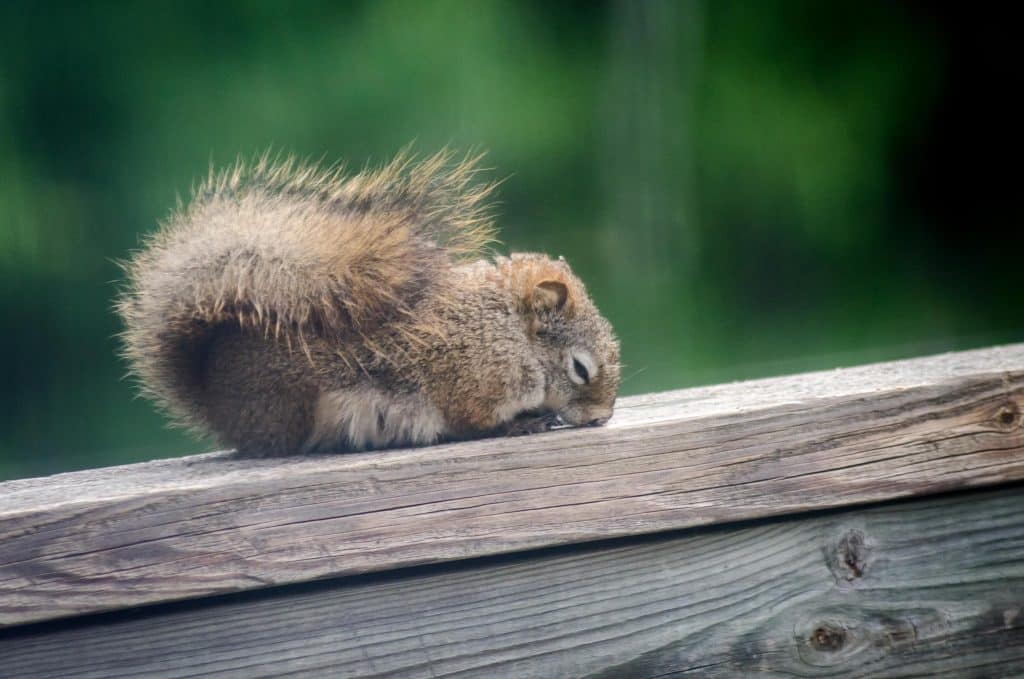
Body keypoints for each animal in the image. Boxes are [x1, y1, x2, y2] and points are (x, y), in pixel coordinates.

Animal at [117, 151, 621, 455]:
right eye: (580, 368)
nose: (601, 419)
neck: (508, 328)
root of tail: (213, 395)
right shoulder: (476, 378)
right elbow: (474, 421)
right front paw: (524, 423)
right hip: (298, 405)